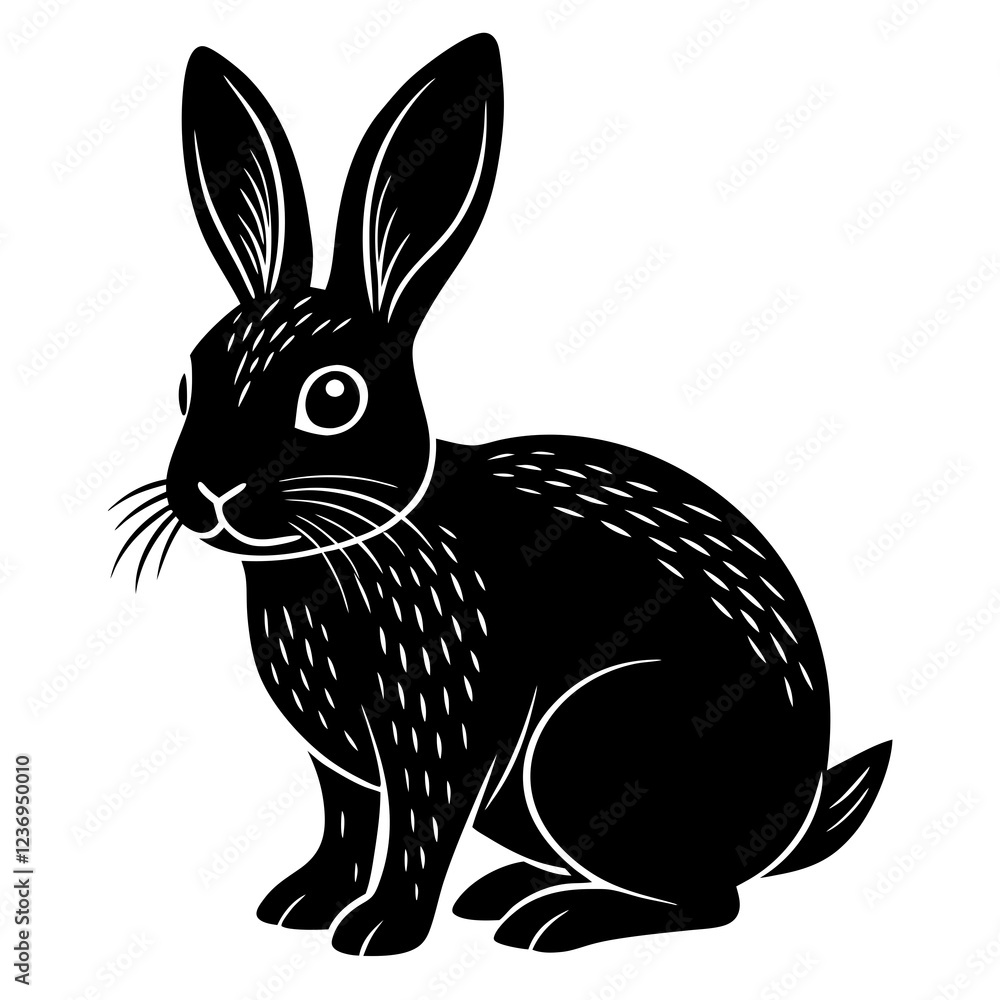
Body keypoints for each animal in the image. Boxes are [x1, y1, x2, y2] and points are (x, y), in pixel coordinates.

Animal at [112, 34, 891, 954]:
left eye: (333, 397)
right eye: (188, 384)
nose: (210, 491)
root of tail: (796, 821)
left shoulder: (444, 728)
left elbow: (418, 831)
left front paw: (379, 932)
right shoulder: (341, 766)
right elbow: (345, 826)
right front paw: (299, 904)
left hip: (595, 747)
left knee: (709, 902)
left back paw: (554, 920)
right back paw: (507, 893)